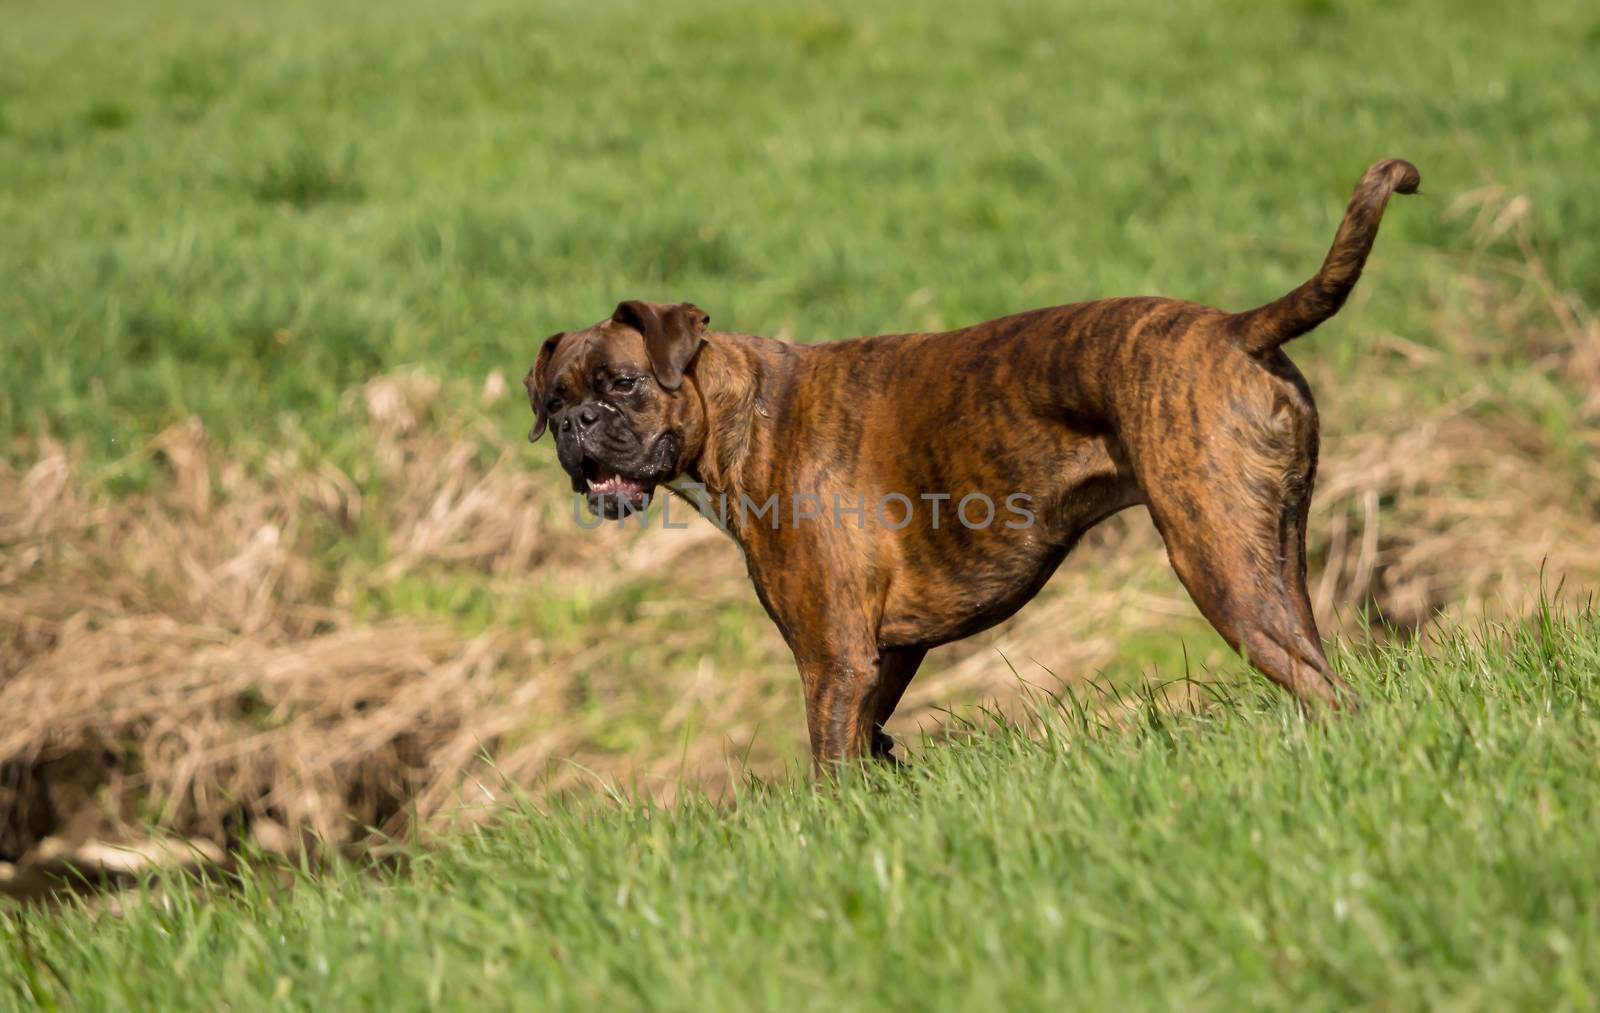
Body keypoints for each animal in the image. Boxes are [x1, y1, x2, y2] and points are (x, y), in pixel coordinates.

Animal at [528, 160, 1427, 764]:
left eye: (621, 383)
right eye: (551, 398)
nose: (575, 424)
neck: (741, 411)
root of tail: (1239, 327)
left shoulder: (833, 659)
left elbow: (828, 766)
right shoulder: (882, 659)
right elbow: (869, 747)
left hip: (1220, 566)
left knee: (1322, 690)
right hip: (1275, 558)